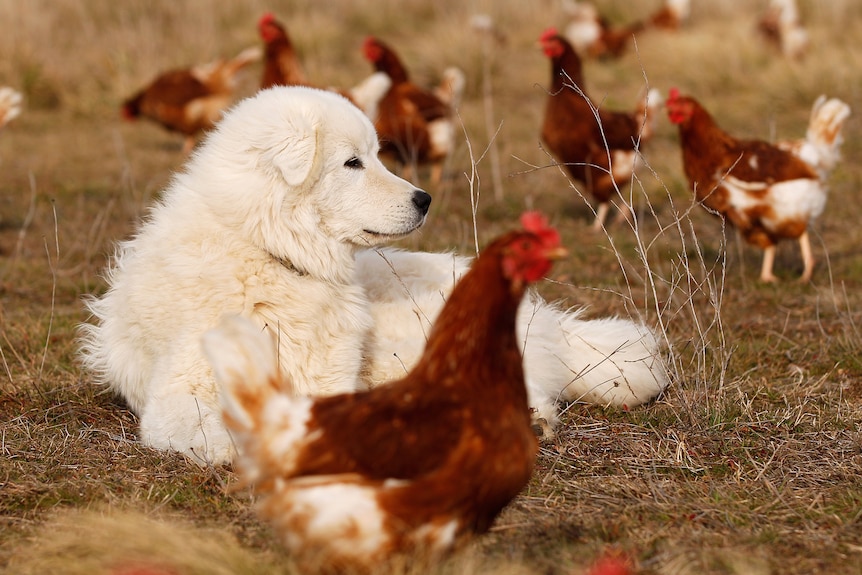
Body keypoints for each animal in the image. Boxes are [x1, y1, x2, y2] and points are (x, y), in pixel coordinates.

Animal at [81, 85, 672, 466]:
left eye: (377, 154)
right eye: (353, 162)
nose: (425, 199)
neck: (271, 252)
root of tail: (546, 317)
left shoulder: (332, 376)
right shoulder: (180, 398)